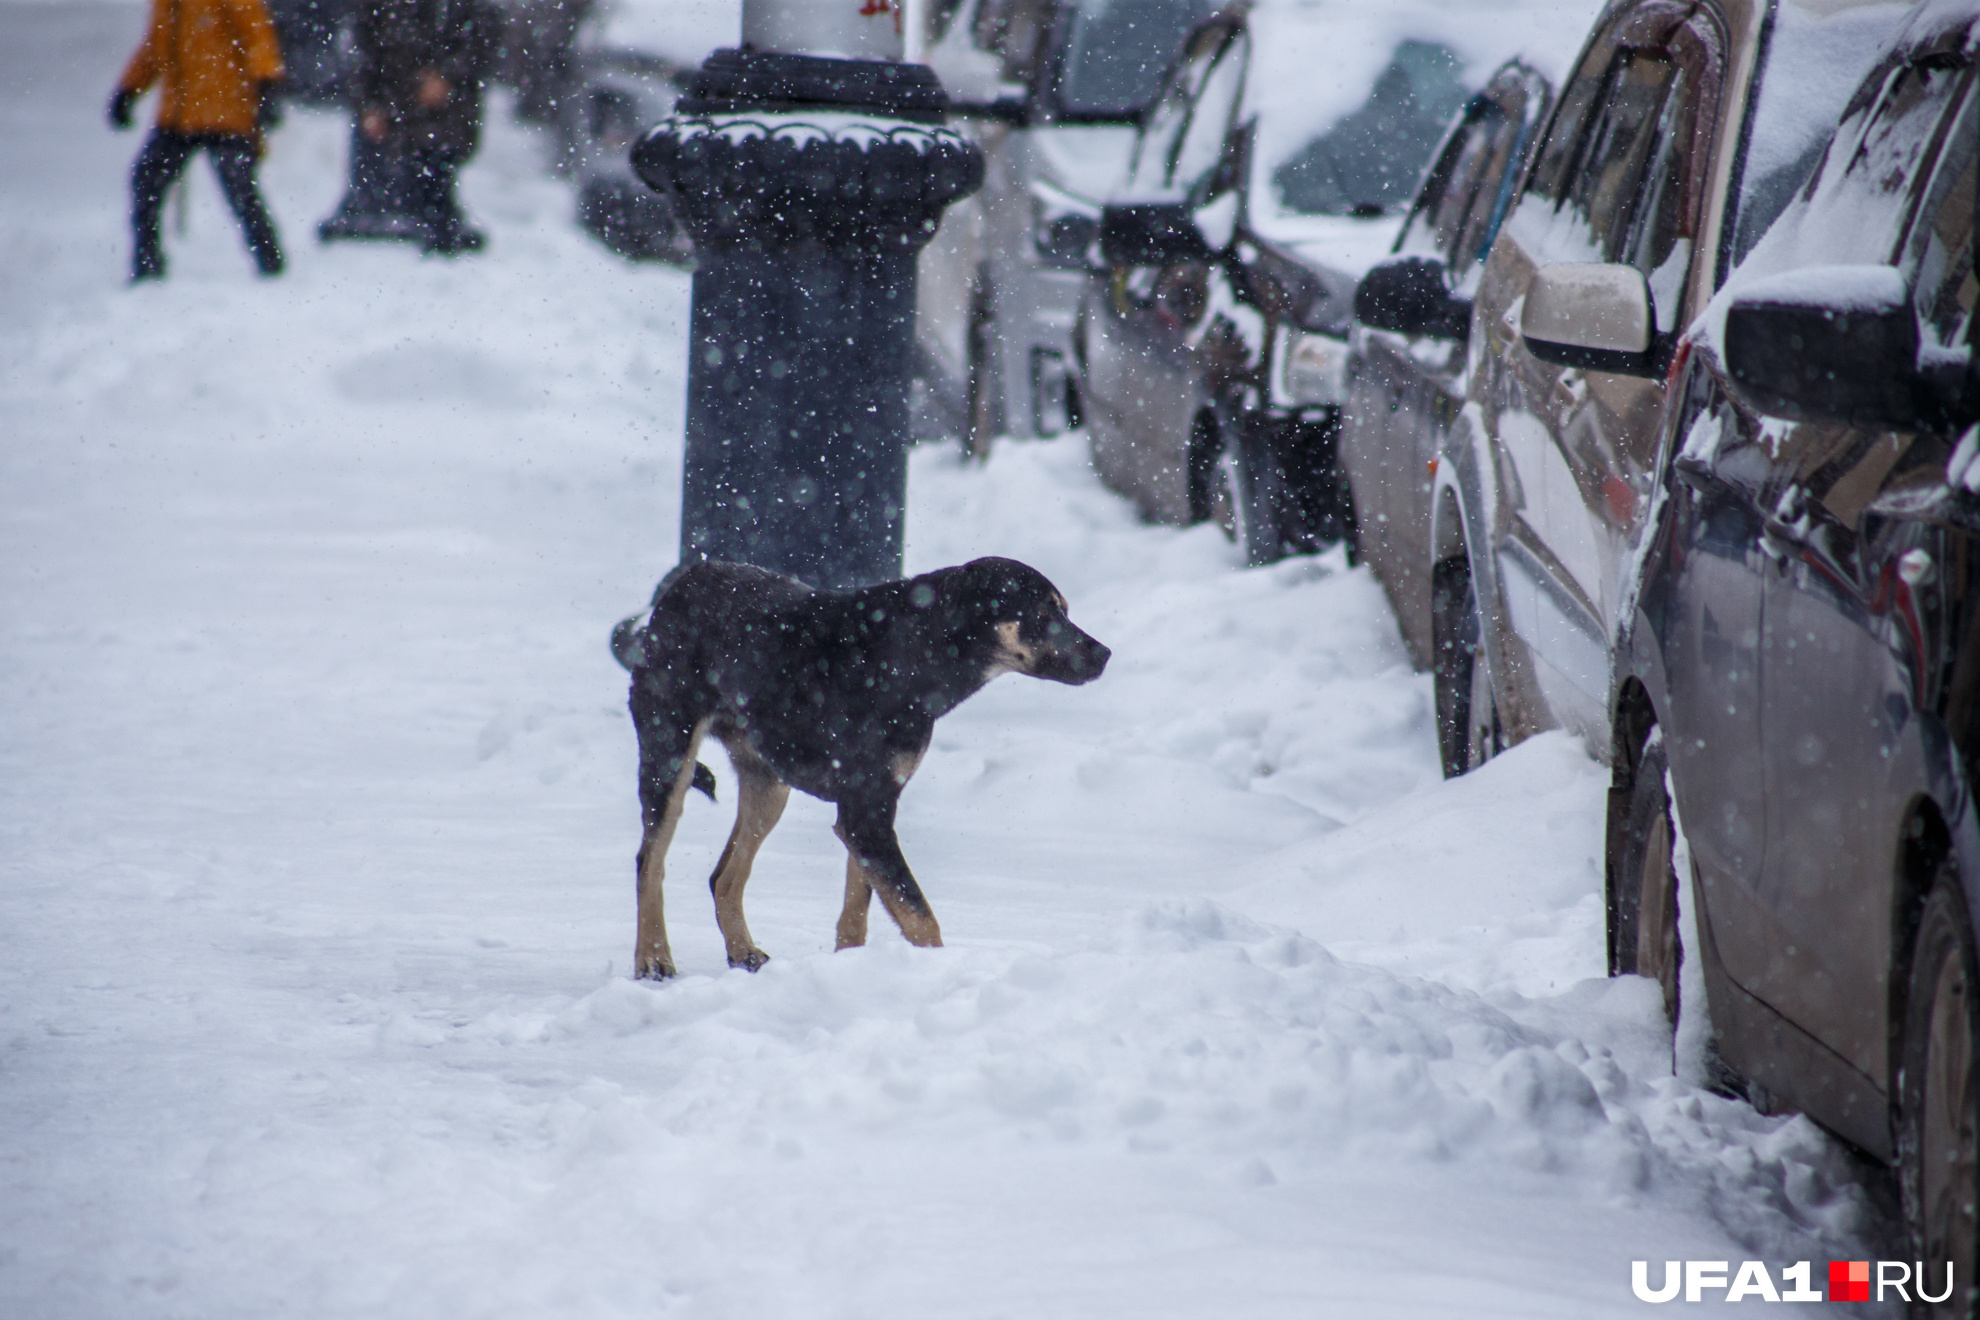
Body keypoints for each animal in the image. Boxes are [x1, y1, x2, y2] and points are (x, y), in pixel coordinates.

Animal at [609, 554, 1108, 977]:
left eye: (1064, 610)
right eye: (1043, 615)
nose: (1103, 654)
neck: (916, 654)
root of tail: (681, 583)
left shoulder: (868, 813)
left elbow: (858, 908)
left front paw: (851, 970)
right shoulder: (867, 815)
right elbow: (919, 915)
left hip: (768, 784)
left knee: (724, 877)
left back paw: (743, 953)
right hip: (669, 753)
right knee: (649, 862)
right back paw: (652, 959)